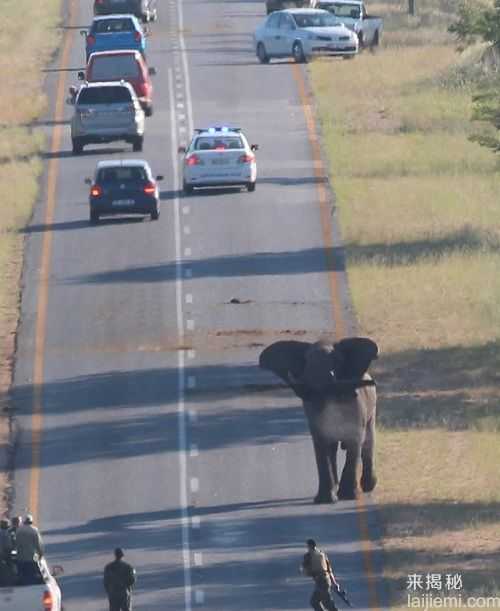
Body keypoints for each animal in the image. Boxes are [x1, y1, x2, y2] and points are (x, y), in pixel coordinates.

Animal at [260, 338, 376, 504]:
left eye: (336, 361)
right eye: (306, 361)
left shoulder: (357, 408)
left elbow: (354, 443)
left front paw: (348, 497)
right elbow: (321, 444)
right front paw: (325, 500)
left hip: (372, 409)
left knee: (368, 441)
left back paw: (367, 486)